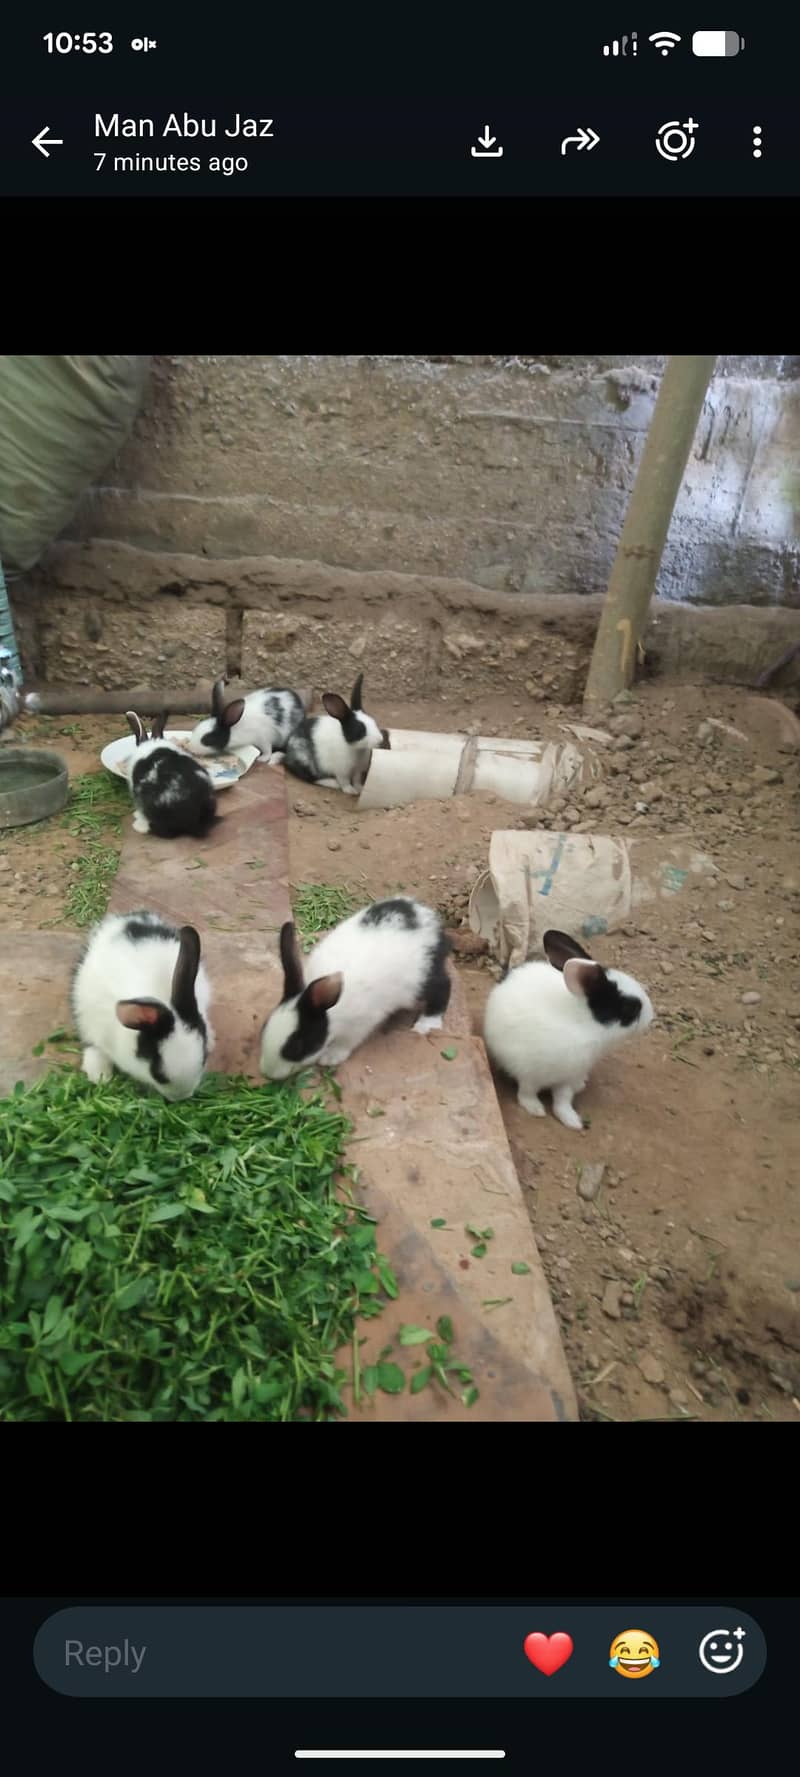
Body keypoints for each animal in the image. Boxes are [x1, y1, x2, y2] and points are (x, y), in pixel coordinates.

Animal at [260, 896, 452, 1079]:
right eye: (264, 1026)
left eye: (297, 1046)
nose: (268, 1073)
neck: (331, 1012)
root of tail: (431, 921)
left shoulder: (360, 1024)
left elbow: (347, 1042)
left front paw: (330, 1057)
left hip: (422, 980)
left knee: (443, 987)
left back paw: (427, 1024)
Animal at [483, 927, 654, 1131]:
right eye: (630, 1007)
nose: (651, 1016)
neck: (585, 1025)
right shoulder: (529, 1071)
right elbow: (527, 1092)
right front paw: (535, 1109)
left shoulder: (569, 1078)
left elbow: (562, 1101)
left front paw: (572, 1121)